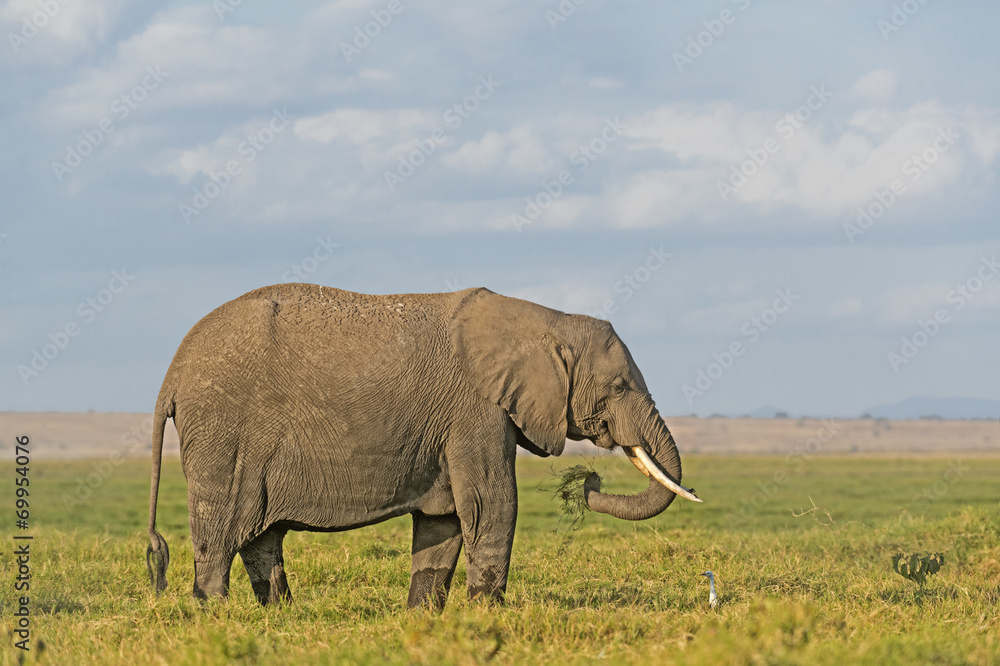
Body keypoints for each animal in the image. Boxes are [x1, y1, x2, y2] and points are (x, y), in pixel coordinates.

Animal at [146, 284, 700, 609]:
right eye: (620, 387)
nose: (590, 482)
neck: (546, 319)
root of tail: (172, 372)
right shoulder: (477, 409)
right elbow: (493, 503)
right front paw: (487, 615)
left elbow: (445, 518)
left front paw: (424, 619)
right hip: (224, 434)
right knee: (221, 529)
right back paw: (214, 614)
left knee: (262, 536)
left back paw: (280, 616)